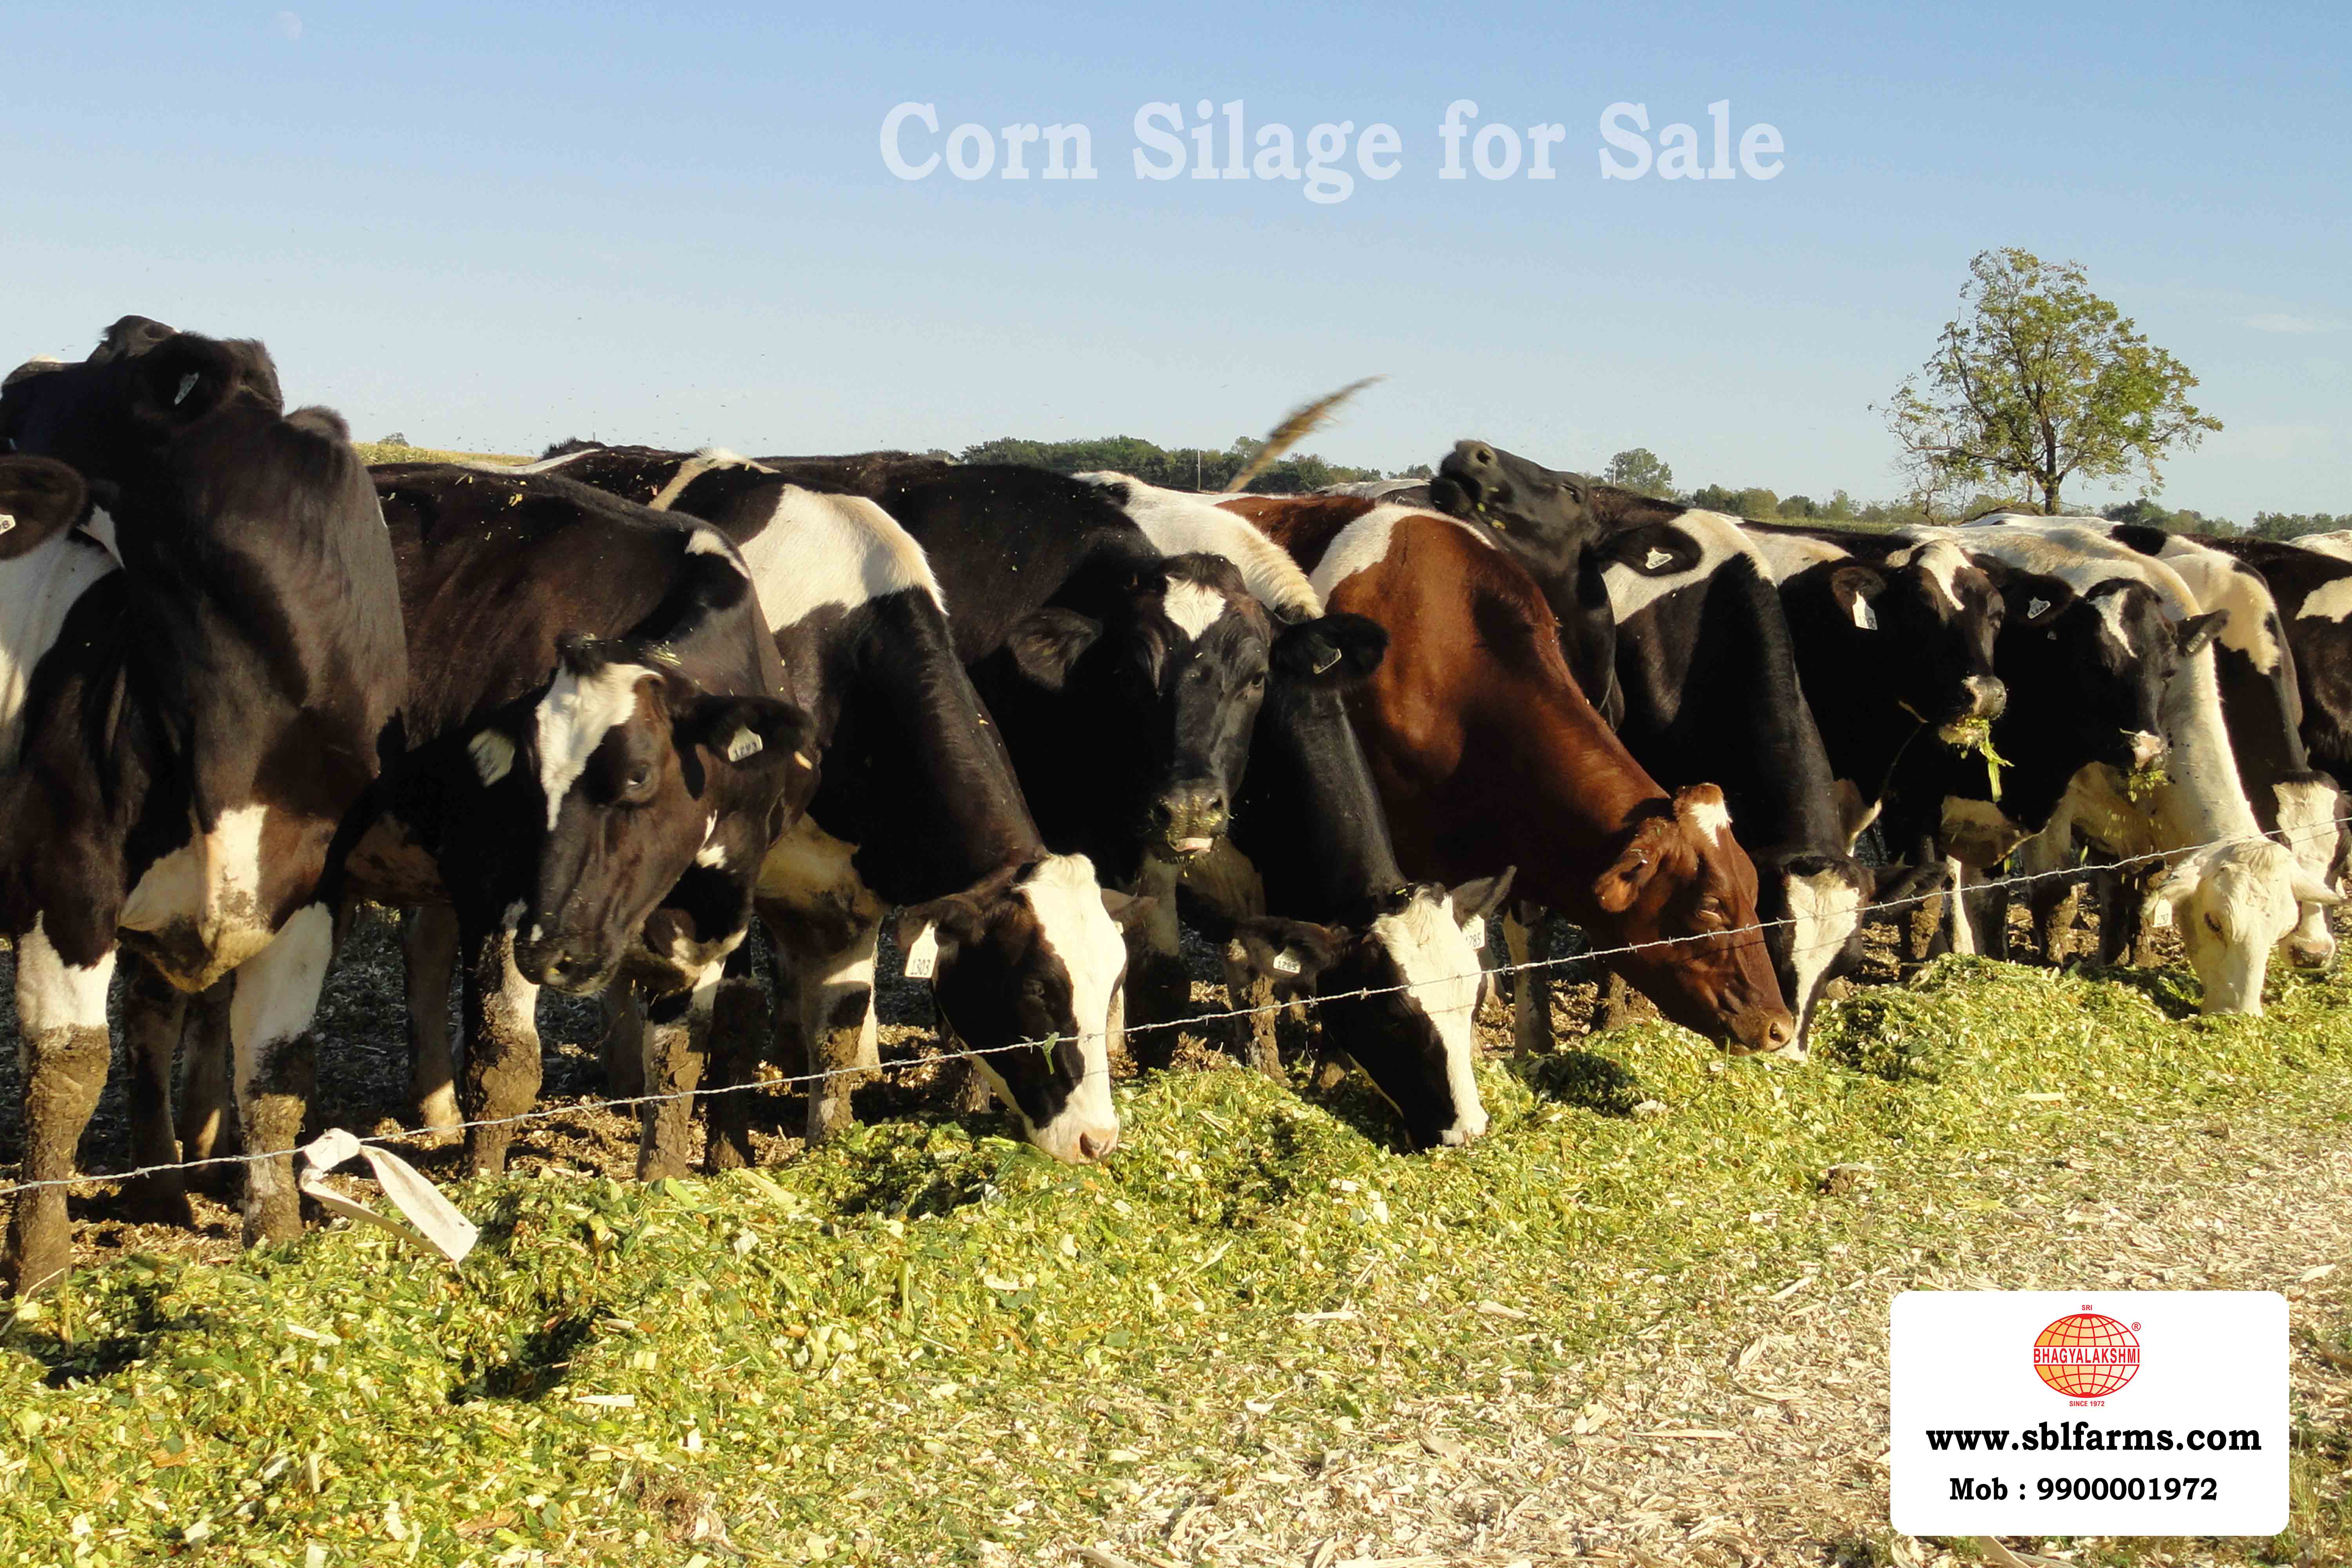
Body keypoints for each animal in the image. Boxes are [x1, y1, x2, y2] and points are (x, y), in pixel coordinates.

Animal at [0, 328, 405, 1295]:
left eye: (110, 340)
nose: (19, 373)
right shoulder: (63, 881)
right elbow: (65, 1070)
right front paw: (39, 1269)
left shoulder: (311, 900)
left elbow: (275, 1063)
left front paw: (275, 1229)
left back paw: (161, 1187)